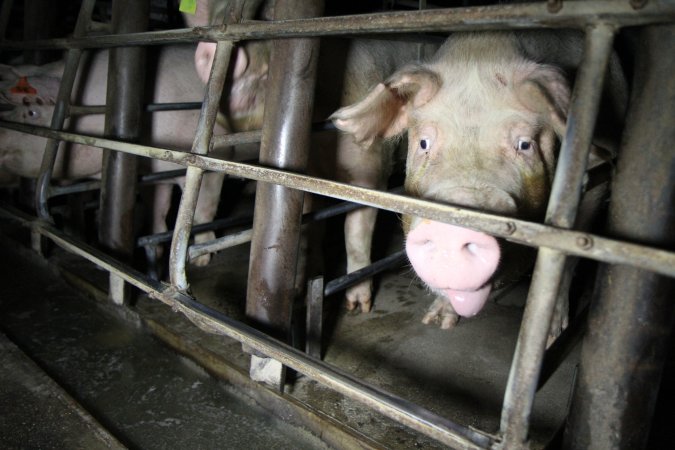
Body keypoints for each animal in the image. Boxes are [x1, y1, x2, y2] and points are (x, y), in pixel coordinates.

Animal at [0, 44, 227, 268]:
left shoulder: (208, 163)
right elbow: (158, 209)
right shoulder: (152, 174)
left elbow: (201, 214)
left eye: (31, 112)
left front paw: (201, 261)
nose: (2, 133)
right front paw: (156, 251)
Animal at [332, 30, 628, 342]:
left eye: (525, 144)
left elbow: (566, 258)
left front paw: (551, 337)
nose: (453, 228)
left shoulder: (597, 178)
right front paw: (438, 322)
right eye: (424, 143)